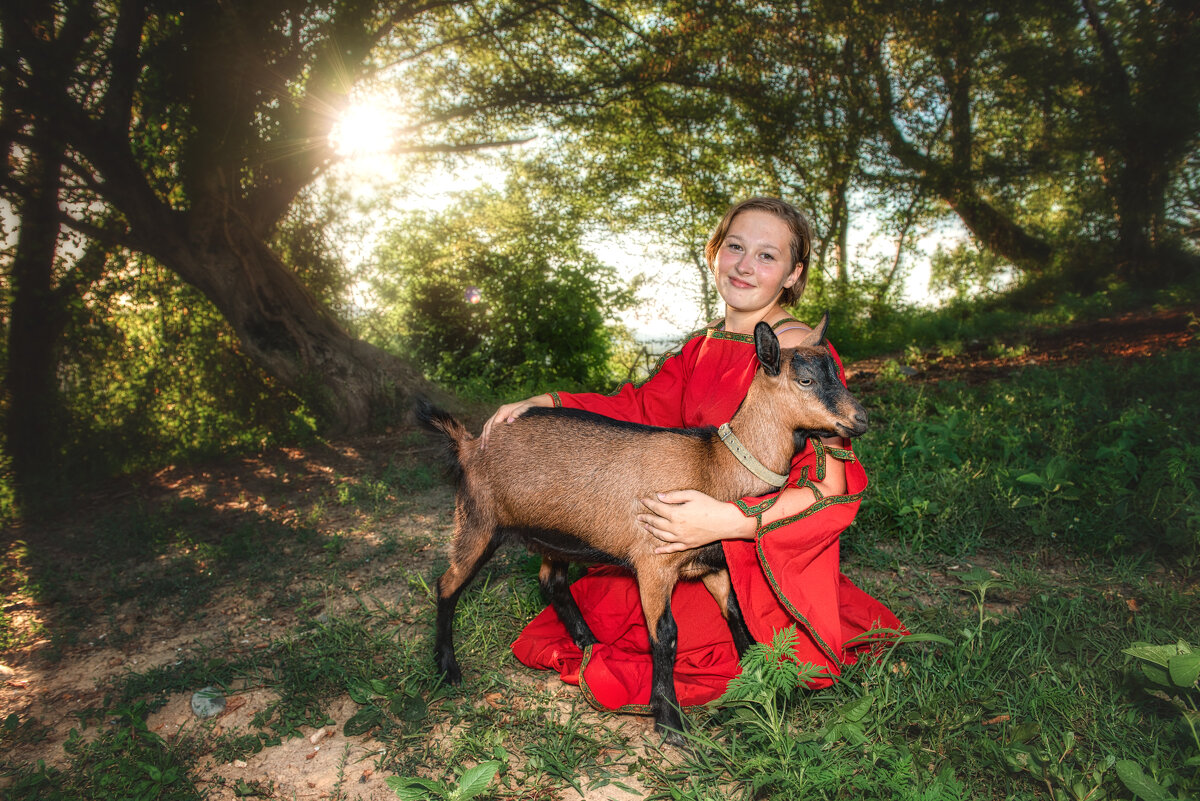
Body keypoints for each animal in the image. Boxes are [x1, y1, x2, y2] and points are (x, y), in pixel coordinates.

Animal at [417, 314, 868, 743]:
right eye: (806, 379)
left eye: (836, 371)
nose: (860, 419)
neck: (716, 467)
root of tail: (469, 445)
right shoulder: (653, 563)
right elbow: (665, 636)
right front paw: (670, 722)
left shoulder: (712, 564)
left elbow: (735, 613)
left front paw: (760, 682)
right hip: (477, 520)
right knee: (448, 584)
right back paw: (448, 668)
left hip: (555, 535)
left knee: (551, 581)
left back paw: (589, 645)